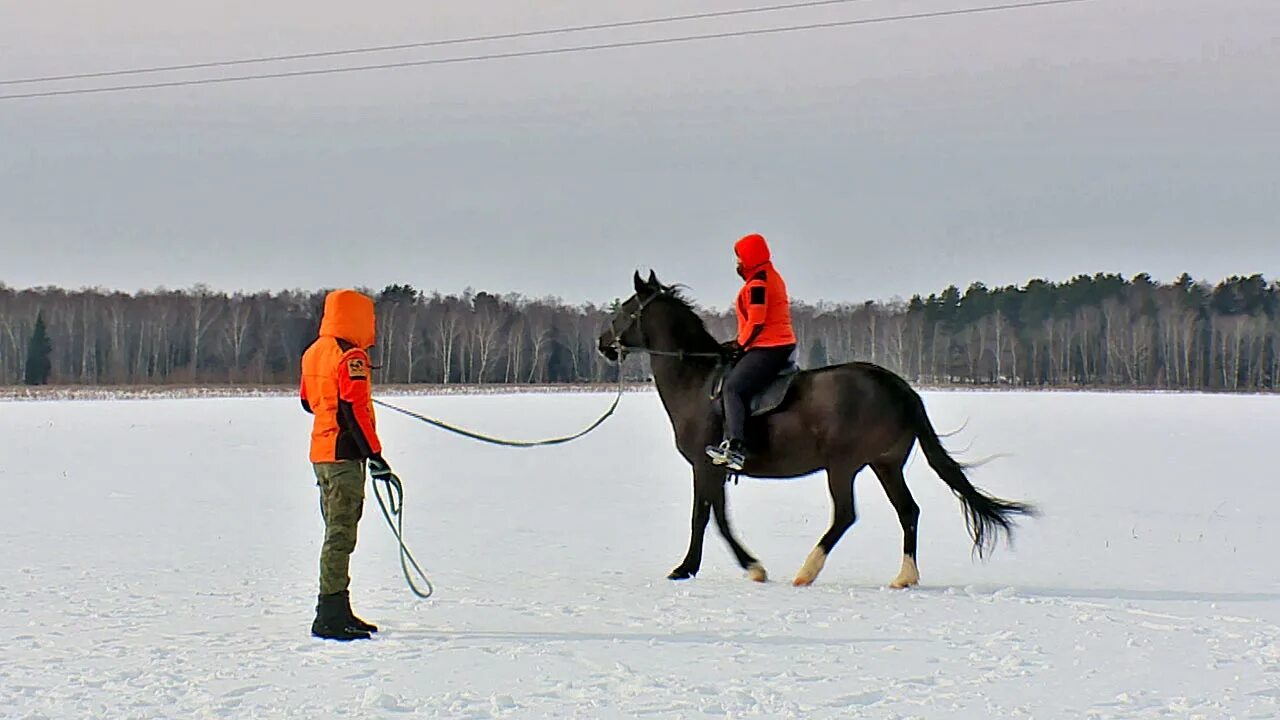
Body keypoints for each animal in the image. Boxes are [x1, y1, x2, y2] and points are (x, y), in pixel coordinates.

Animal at [596, 271, 1029, 586]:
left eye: (626, 310)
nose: (602, 342)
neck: (698, 382)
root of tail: (899, 387)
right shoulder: (711, 470)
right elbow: (715, 515)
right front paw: (725, 565)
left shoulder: (706, 466)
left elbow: (708, 518)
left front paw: (706, 567)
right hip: (885, 464)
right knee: (908, 510)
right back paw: (905, 577)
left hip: (843, 465)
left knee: (845, 515)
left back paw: (807, 570)